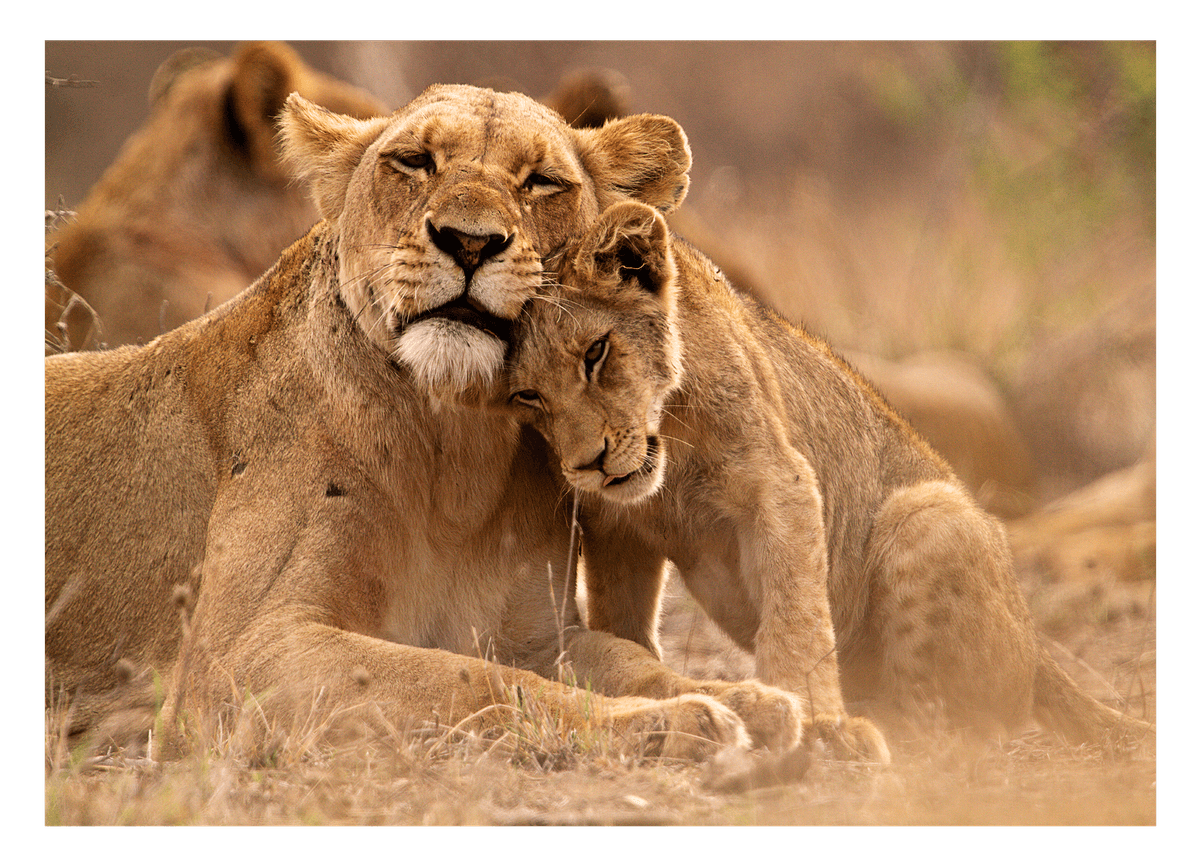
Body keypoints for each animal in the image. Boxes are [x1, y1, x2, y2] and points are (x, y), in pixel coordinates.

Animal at [44, 85, 808, 762]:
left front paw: (746, 700)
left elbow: (626, 659)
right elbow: (471, 680)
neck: (456, 449)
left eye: (541, 182)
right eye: (414, 161)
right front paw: (676, 723)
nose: (469, 242)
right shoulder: (234, 658)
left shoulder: (538, 634)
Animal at [505, 201, 1152, 758]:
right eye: (527, 396)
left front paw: (814, 719)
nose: (587, 464)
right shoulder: (617, 528)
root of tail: (1039, 648)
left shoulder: (781, 483)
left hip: (928, 513)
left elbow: (796, 617)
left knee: (951, 725)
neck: (670, 454)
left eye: (595, 352)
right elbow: (622, 621)